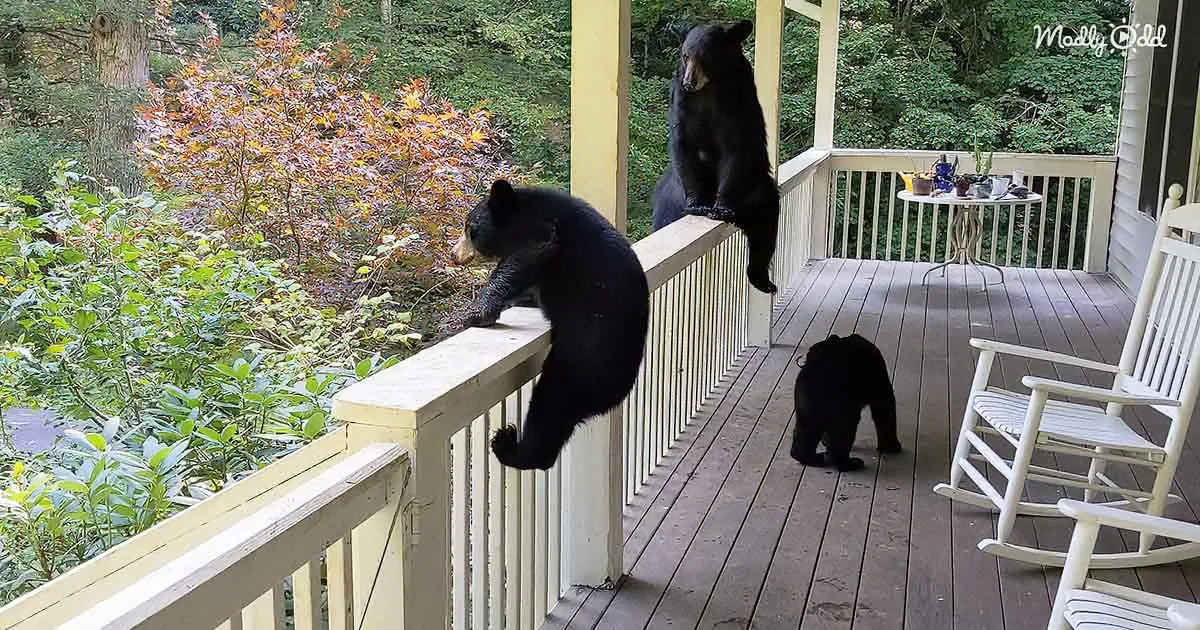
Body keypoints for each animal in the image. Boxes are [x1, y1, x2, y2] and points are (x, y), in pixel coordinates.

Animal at [452, 179, 651, 471]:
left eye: (469, 228)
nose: (453, 254)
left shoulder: (545, 233)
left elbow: (525, 257)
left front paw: (477, 311)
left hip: (577, 366)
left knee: (548, 409)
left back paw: (509, 446)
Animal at [650, 20, 781, 295]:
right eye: (685, 55)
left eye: (706, 56)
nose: (690, 81)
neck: (710, 88)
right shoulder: (684, 104)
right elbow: (684, 144)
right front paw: (698, 203)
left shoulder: (738, 104)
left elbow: (736, 150)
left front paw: (721, 207)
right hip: (670, 199)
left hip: (755, 190)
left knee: (765, 227)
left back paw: (762, 280)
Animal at [790, 333, 903, 472]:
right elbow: (884, 406)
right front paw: (891, 446)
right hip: (841, 405)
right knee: (844, 430)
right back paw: (846, 463)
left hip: (806, 400)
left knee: (807, 429)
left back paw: (811, 458)